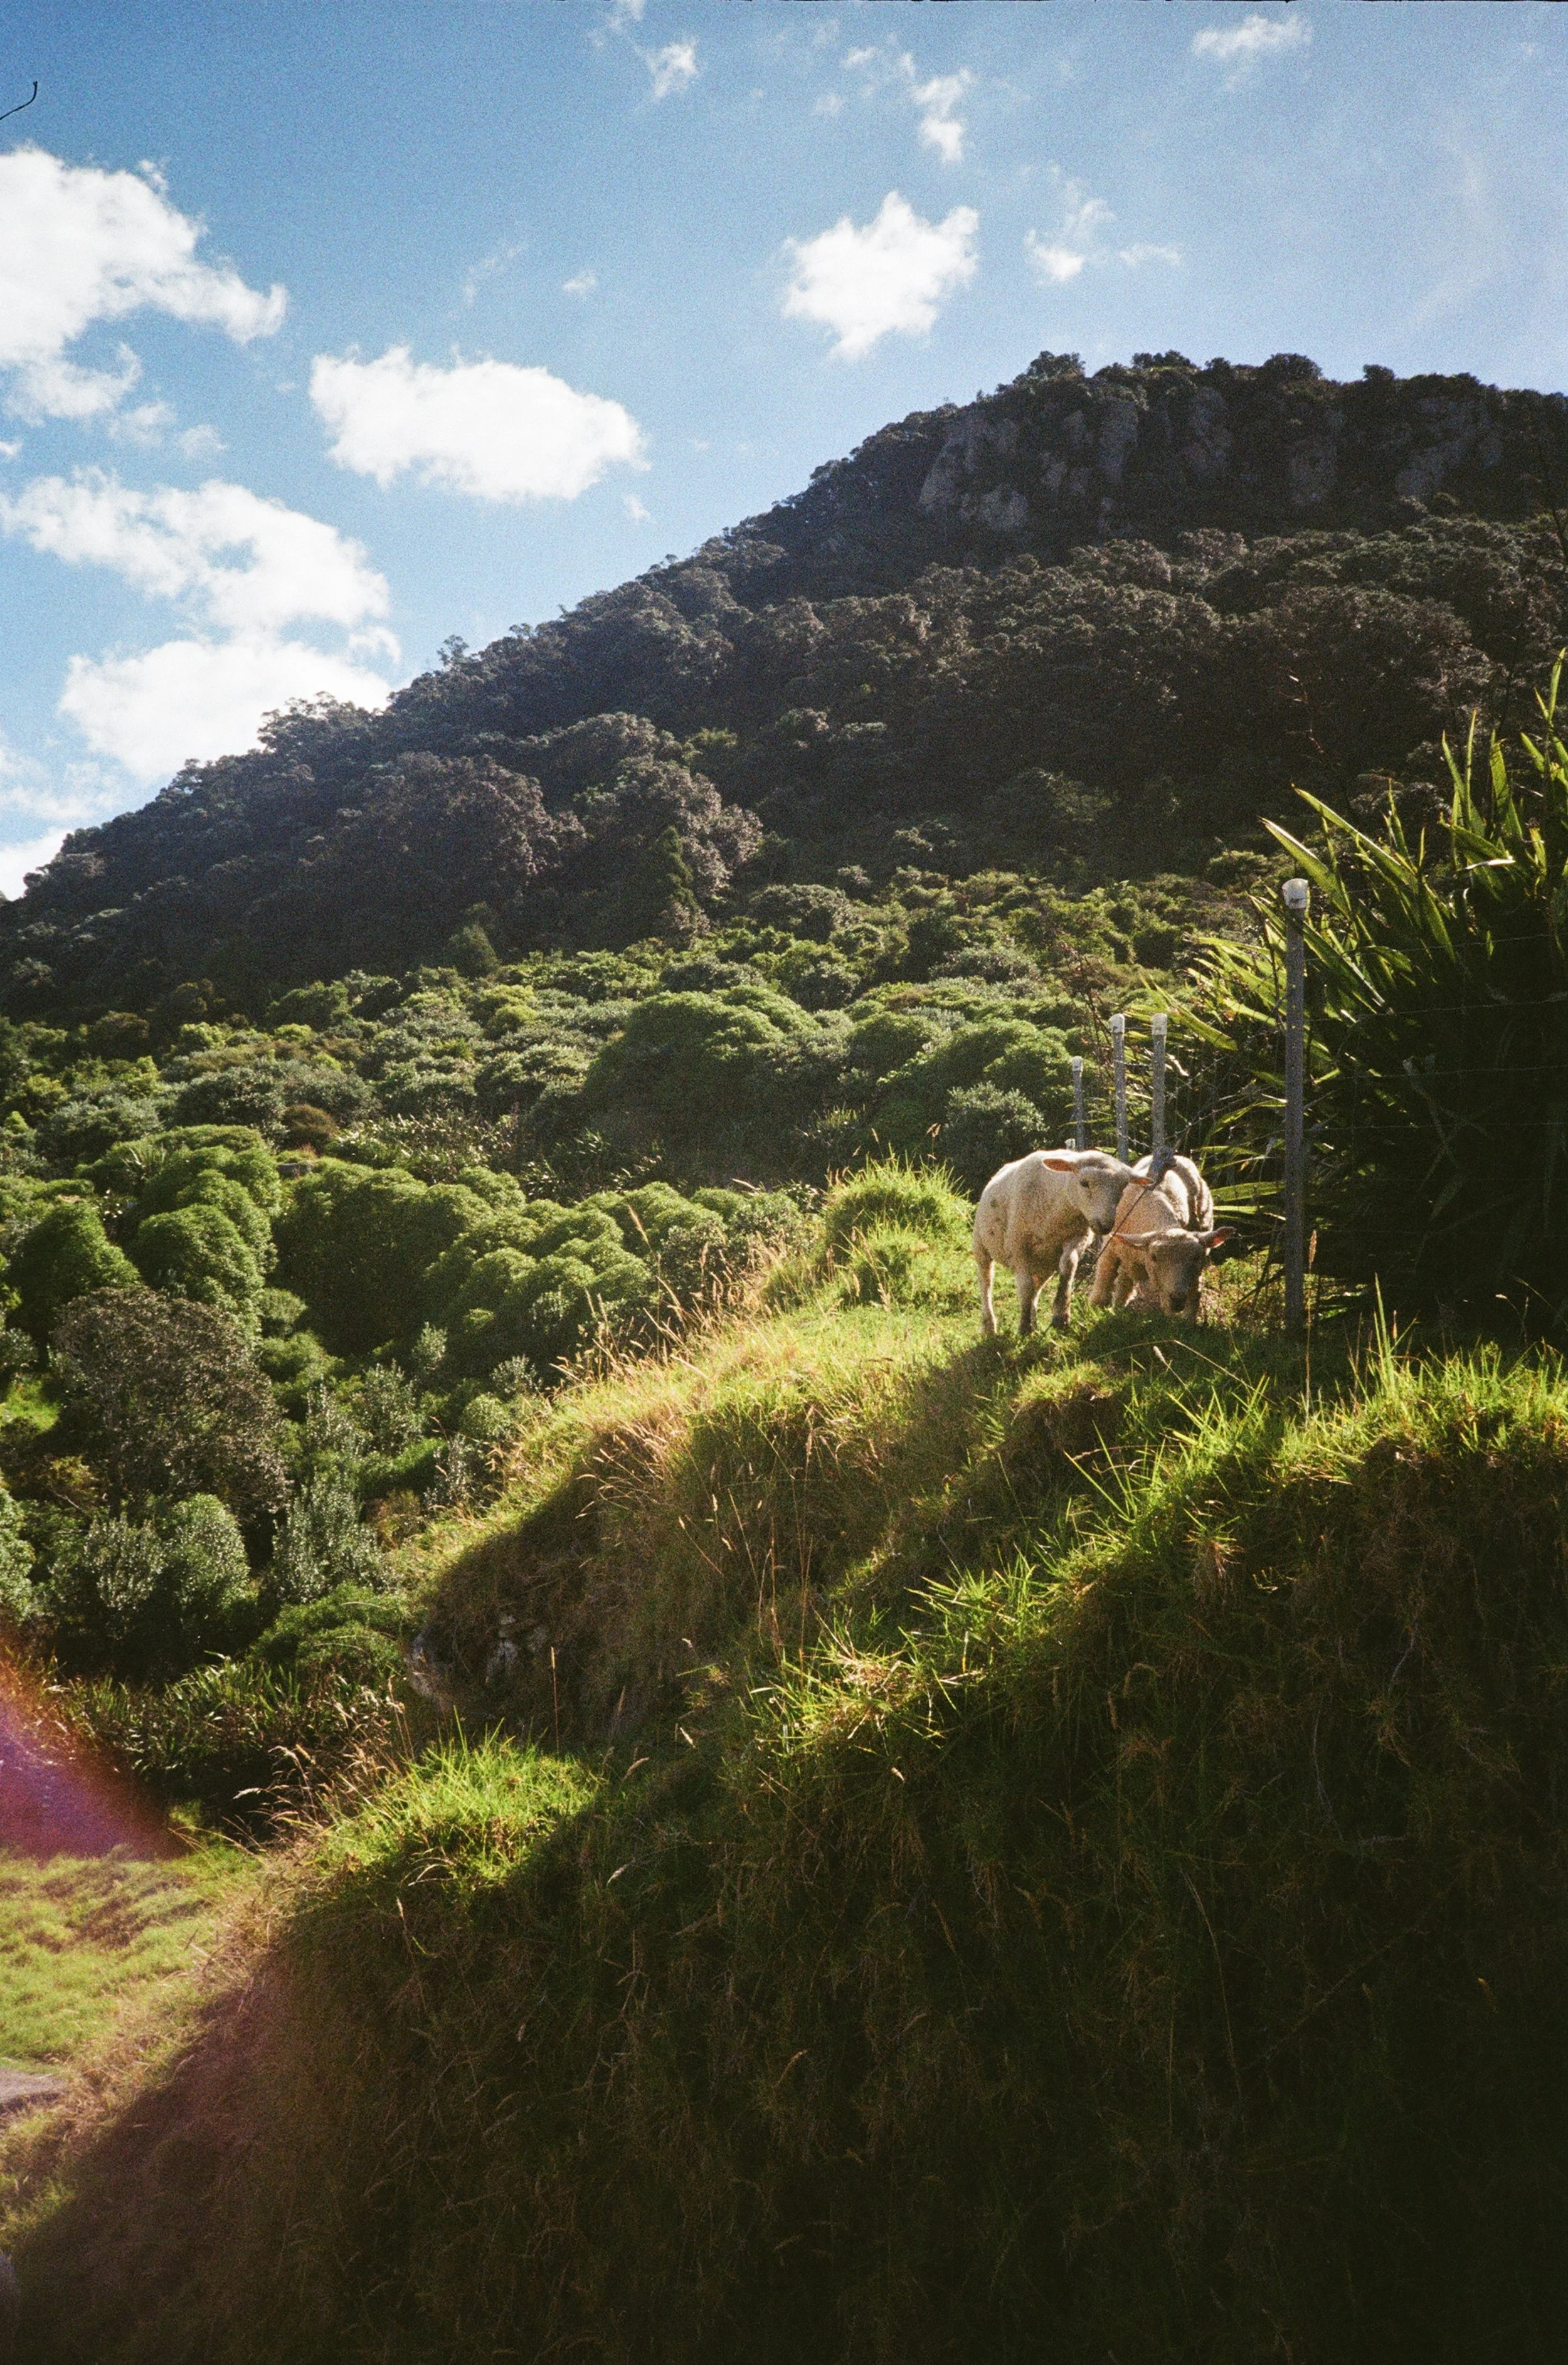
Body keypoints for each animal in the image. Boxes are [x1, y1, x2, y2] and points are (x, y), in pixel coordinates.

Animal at [974, 1148, 1140, 1337]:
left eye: (1123, 1187)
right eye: (1084, 1183)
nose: (1105, 1225)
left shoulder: (1078, 1237)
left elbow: (1068, 1266)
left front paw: (1061, 1316)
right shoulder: (1019, 1246)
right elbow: (1025, 1287)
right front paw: (1024, 1327)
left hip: (1044, 1264)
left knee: (1037, 1289)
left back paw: (1034, 1322)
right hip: (981, 1244)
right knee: (986, 1281)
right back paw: (989, 1327)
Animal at [1088, 1153, 1232, 1318]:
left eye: (1197, 1257)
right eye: (1154, 1257)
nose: (1177, 1298)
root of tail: (1180, 1157)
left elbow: (1194, 1293)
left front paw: (1186, 1321)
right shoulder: (1111, 1246)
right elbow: (1105, 1274)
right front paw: (1098, 1306)